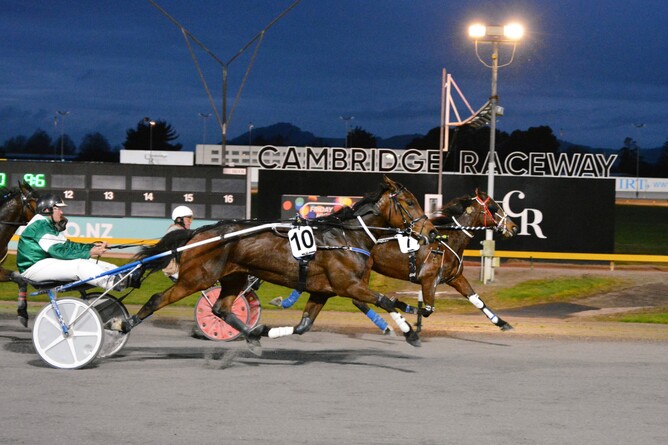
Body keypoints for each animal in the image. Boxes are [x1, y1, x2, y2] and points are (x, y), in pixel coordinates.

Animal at [123, 176, 437, 355]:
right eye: (410, 202)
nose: (432, 232)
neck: (347, 236)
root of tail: (199, 232)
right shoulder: (349, 285)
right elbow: (386, 300)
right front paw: (411, 333)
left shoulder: (323, 291)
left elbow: (303, 327)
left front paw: (265, 331)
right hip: (196, 278)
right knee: (156, 299)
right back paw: (123, 324)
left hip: (234, 277)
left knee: (221, 310)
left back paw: (252, 336)